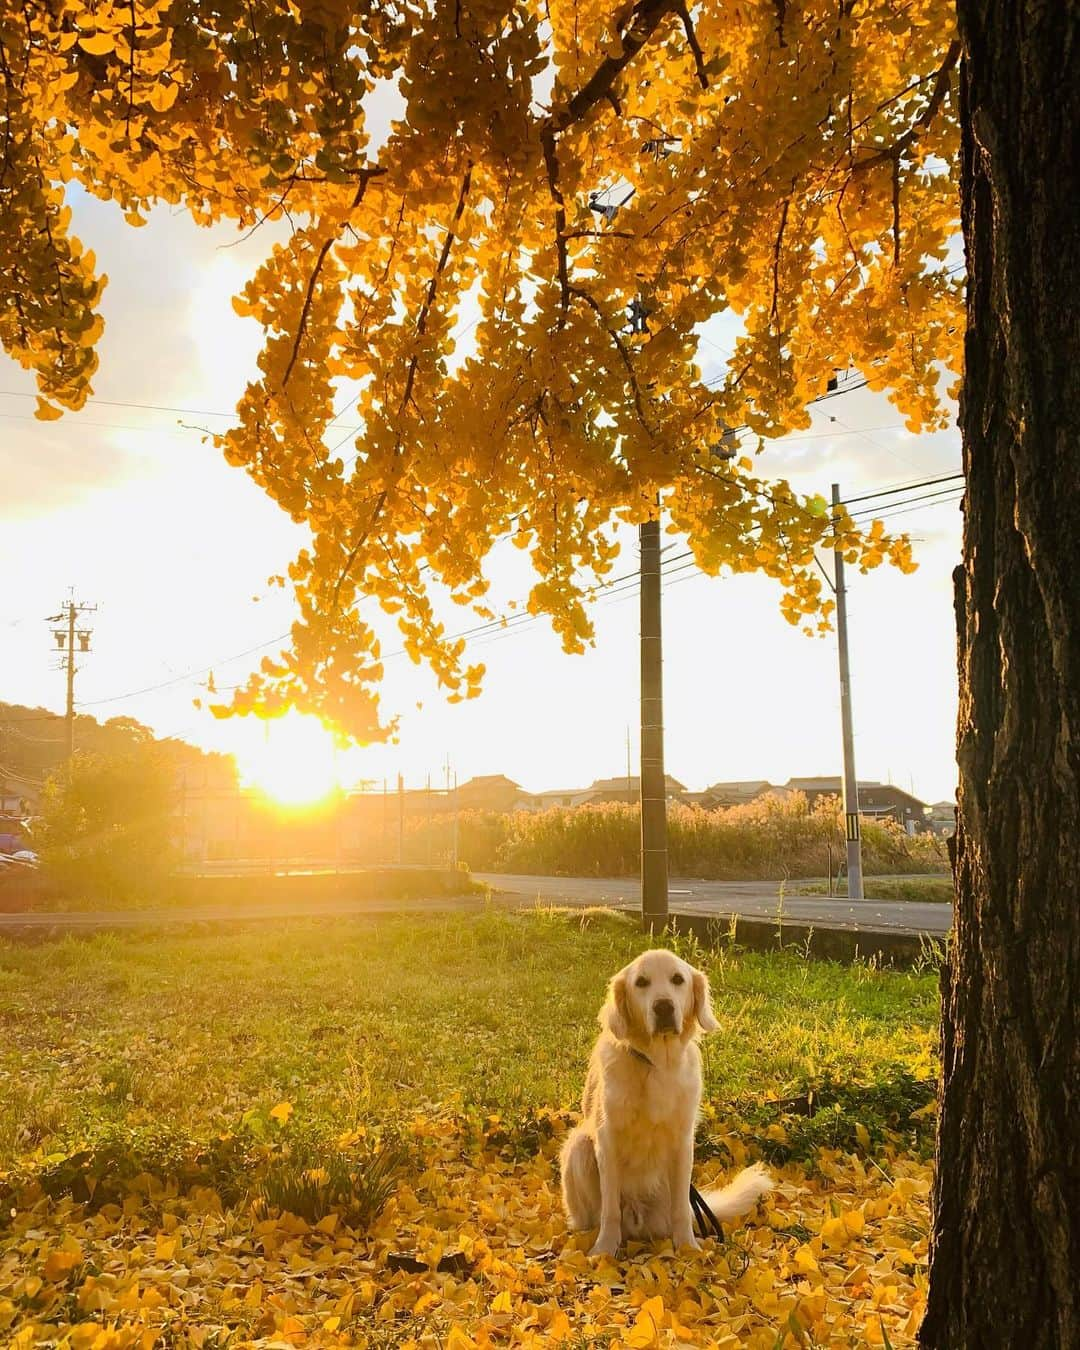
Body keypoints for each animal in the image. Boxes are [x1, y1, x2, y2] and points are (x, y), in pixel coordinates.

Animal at [561, 950, 772, 1252]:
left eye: (677, 979)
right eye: (641, 982)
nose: (663, 1007)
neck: (657, 1064)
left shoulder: (683, 1143)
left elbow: (682, 1209)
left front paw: (688, 1249)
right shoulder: (607, 1141)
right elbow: (610, 1210)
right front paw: (604, 1251)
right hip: (578, 1145)